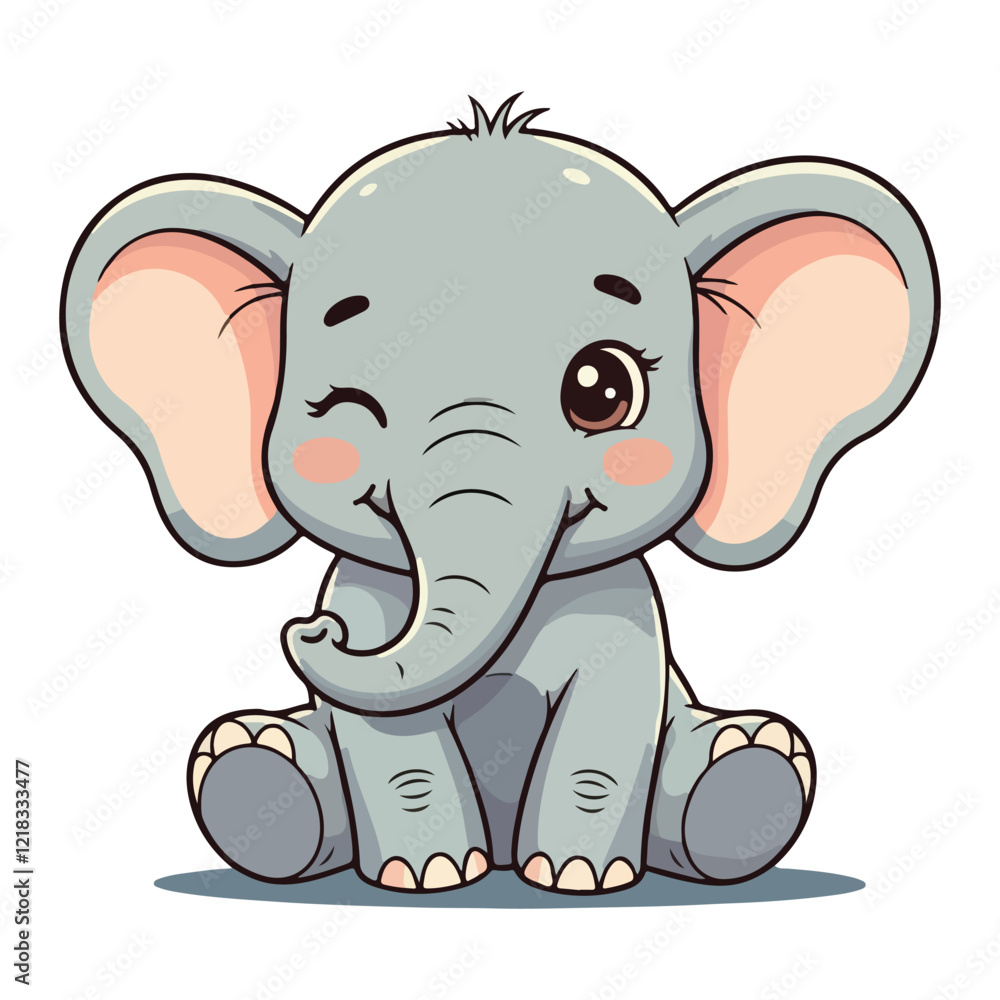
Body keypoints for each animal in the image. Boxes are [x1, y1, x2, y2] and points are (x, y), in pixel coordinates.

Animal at [61, 95, 937, 894]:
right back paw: (254, 770)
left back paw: (748, 771)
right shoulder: (369, 595)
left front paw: (578, 878)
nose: (315, 629)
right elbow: (393, 743)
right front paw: (431, 876)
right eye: (348, 405)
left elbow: (604, 727)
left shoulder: (622, 619)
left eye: (603, 388)